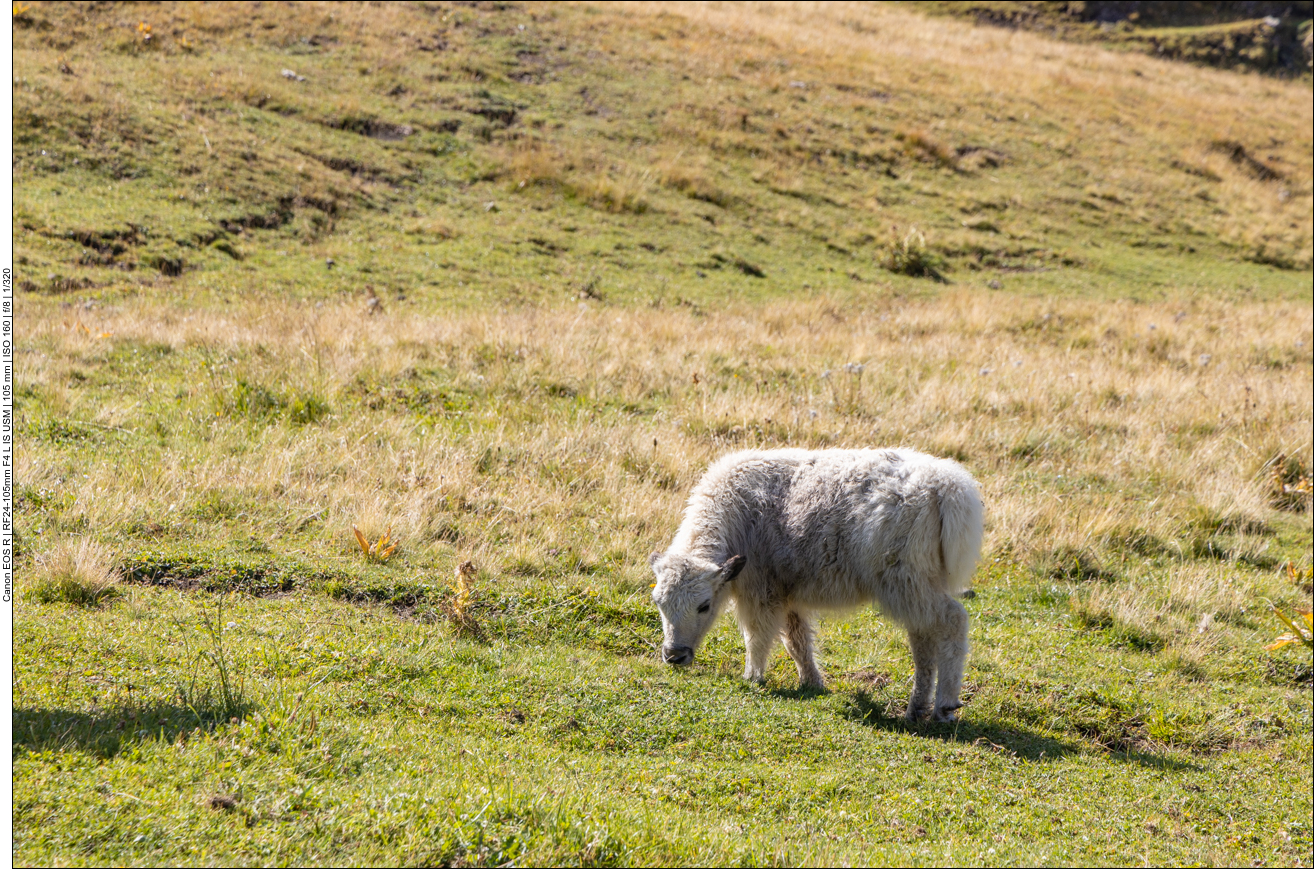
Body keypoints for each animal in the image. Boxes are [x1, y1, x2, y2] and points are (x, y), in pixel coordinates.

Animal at [651, 446, 982, 720]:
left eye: (704, 606)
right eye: (659, 604)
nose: (674, 655)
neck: (736, 512)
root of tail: (946, 486)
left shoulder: (761, 593)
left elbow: (757, 637)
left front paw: (752, 677)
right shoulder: (788, 595)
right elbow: (796, 641)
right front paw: (812, 682)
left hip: (907, 584)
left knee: (953, 620)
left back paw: (945, 707)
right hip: (916, 588)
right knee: (923, 639)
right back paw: (916, 708)